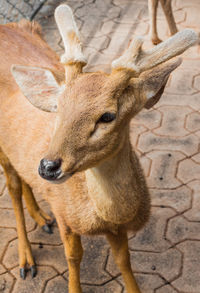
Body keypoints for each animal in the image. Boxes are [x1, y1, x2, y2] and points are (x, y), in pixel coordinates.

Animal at [0, 2, 197, 292]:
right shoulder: (64, 214)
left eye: (107, 116)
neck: (102, 216)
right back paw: (27, 261)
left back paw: (42, 219)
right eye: (59, 107)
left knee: (23, 181)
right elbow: (73, 258)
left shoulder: (118, 229)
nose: (48, 166)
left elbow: (124, 260)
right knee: (13, 188)